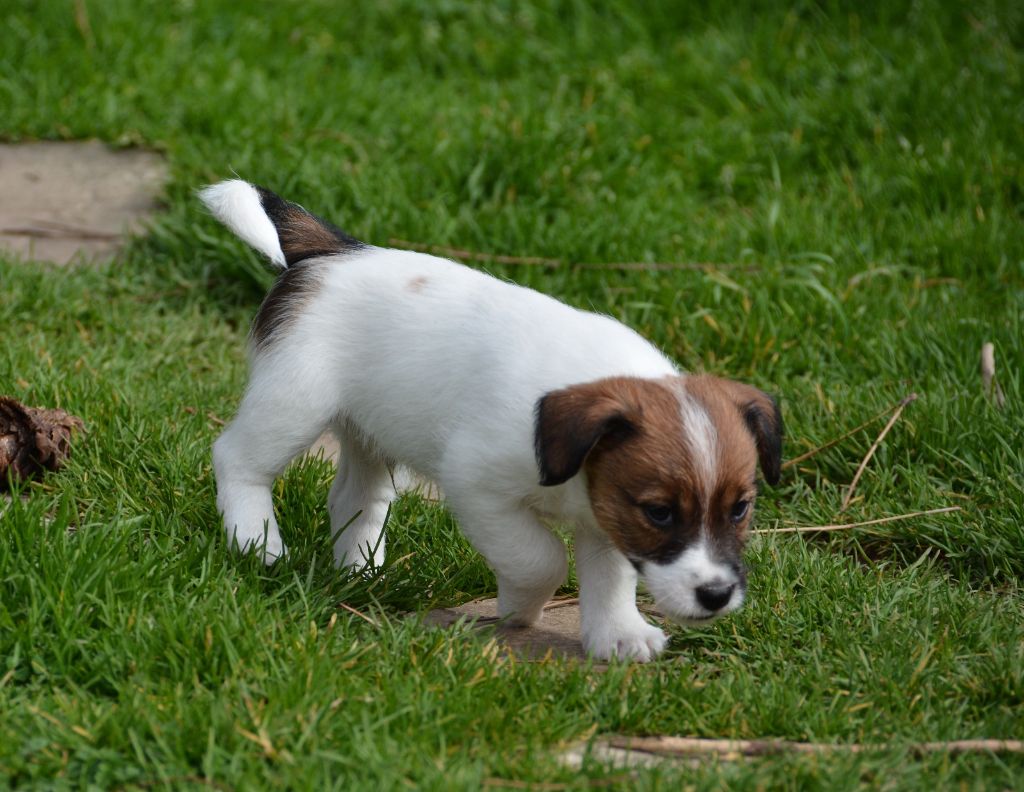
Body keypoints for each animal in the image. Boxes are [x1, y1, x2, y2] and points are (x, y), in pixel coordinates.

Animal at [199, 179, 778, 659]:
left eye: (740, 508)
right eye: (659, 512)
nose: (716, 595)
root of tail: (334, 251)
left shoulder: (606, 511)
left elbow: (610, 577)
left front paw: (617, 634)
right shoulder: (478, 486)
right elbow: (541, 558)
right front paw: (519, 607)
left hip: (371, 428)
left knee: (355, 499)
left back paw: (361, 572)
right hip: (295, 400)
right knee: (238, 460)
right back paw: (258, 544)